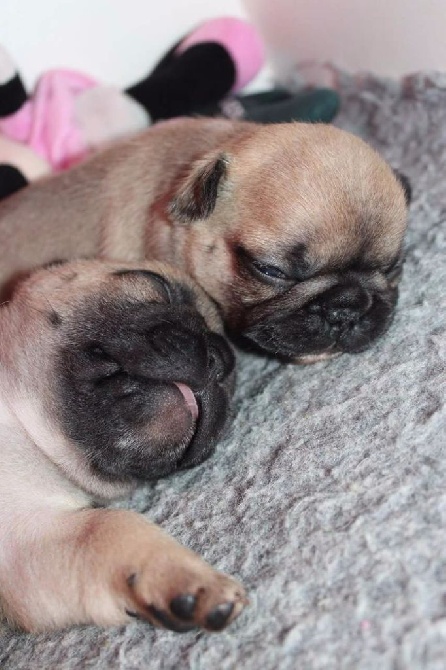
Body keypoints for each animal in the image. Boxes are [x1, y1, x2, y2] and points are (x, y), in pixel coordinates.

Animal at [0, 262, 247, 636]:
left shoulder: (27, 542)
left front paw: (175, 573)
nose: (224, 356)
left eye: (232, 385)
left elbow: (106, 526)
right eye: (158, 286)